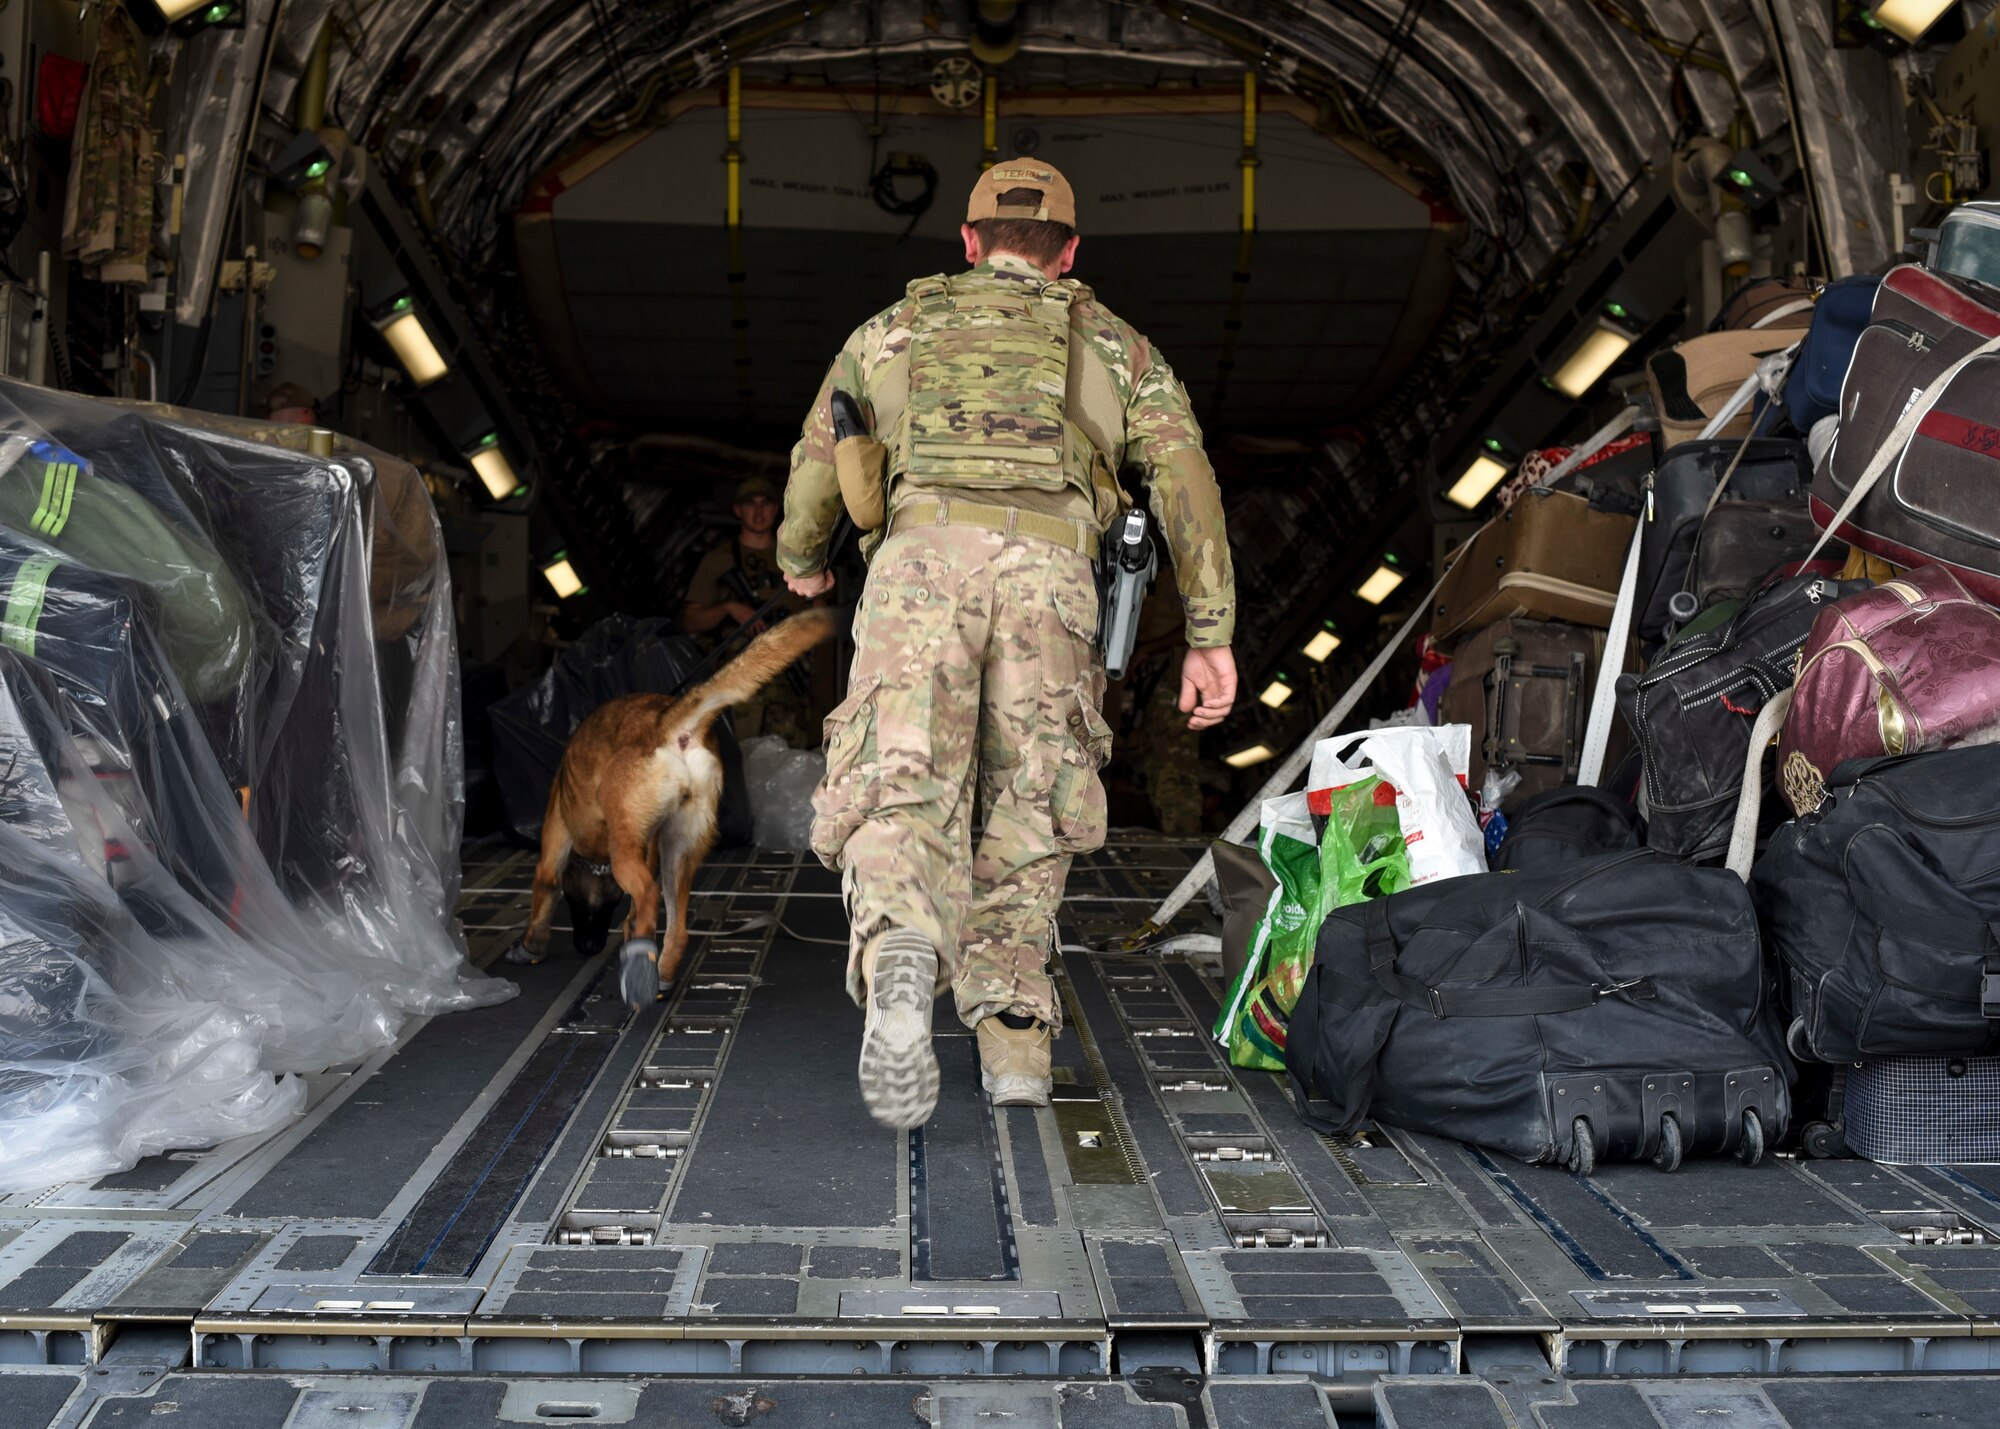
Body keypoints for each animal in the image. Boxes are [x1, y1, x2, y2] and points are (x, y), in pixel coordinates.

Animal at [512, 608, 840, 1008]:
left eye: (576, 902)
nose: (589, 947)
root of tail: (667, 724)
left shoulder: (556, 838)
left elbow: (545, 887)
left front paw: (531, 946)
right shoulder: (649, 848)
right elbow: (632, 914)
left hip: (630, 847)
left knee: (649, 896)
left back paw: (641, 967)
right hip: (679, 851)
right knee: (676, 926)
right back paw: (662, 974)